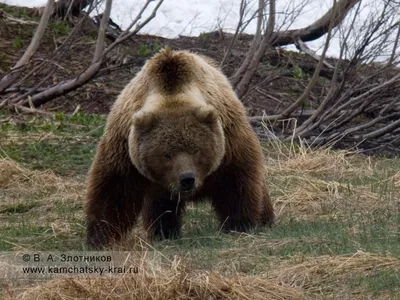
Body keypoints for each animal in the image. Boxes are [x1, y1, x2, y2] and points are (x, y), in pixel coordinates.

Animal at [85, 47, 274, 248]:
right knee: (160, 206)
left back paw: (265, 219)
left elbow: (236, 181)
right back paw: (163, 232)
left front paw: (240, 224)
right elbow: (115, 190)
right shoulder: (124, 147)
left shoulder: (228, 139)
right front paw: (100, 237)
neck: (171, 92)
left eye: (196, 150)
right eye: (166, 154)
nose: (187, 179)